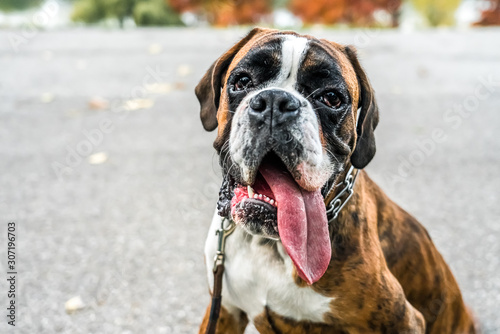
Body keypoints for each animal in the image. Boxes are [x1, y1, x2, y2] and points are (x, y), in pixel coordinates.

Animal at [194, 27, 476, 332]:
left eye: (331, 98)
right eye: (243, 81)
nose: (275, 102)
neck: (271, 244)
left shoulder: (402, 320)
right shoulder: (224, 312)